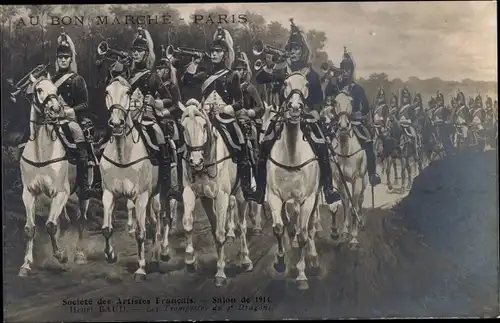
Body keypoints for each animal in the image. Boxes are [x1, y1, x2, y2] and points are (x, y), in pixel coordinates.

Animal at [18, 73, 93, 276]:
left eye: (56, 90)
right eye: (39, 89)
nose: (55, 109)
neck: (42, 152)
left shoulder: (60, 193)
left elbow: (51, 225)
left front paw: (61, 256)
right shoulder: (29, 193)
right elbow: (30, 229)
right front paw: (26, 265)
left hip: (82, 194)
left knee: (81, 220)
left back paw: (79, 255)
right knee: (66, 221)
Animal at [98, 76, 171, 280]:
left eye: (128, 92)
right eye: (107, 91)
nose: (116, 123)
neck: (123, 155)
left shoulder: (141, 197)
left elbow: (140, 233)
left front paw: (140, 269)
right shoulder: (108, 194)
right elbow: (106, 228)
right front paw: (110, 255)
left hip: (160, 193)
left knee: (162, 219)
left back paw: (161, 252)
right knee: (154, 223)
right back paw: (154, 256)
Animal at [181, 100, 254, 288]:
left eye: (204, 125)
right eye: (183, 127)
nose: (195, 161)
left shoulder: (222, 196)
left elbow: (220, 234)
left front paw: (220, 272)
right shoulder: (193, 194)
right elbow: (189, 224)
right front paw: (190, 260)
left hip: (241, 195)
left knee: (242, 226)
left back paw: (246, 260)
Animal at [320, 89, 368, 251]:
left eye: (351, 101)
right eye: (336, 102)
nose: (343, 125)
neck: (346, 150)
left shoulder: (357, 180)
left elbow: (354, 206)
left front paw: (354, 239)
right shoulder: (338, 179)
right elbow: (343, 204)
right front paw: (342, 231)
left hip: (364, 182)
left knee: (359, 202)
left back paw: (361, 222)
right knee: (347, 201)